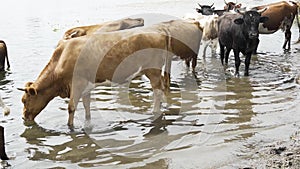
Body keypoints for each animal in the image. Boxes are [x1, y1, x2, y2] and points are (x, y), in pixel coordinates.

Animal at [18, 19, 202, 127]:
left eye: (25, 100)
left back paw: (155, 112)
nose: (24, 117)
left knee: (157, 90)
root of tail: (160, 29)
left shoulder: (76, 83)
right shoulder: (85, 86)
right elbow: (86, 106)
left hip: (153, 70)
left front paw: (70, 128)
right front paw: (88, 122)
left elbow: (71, 108)